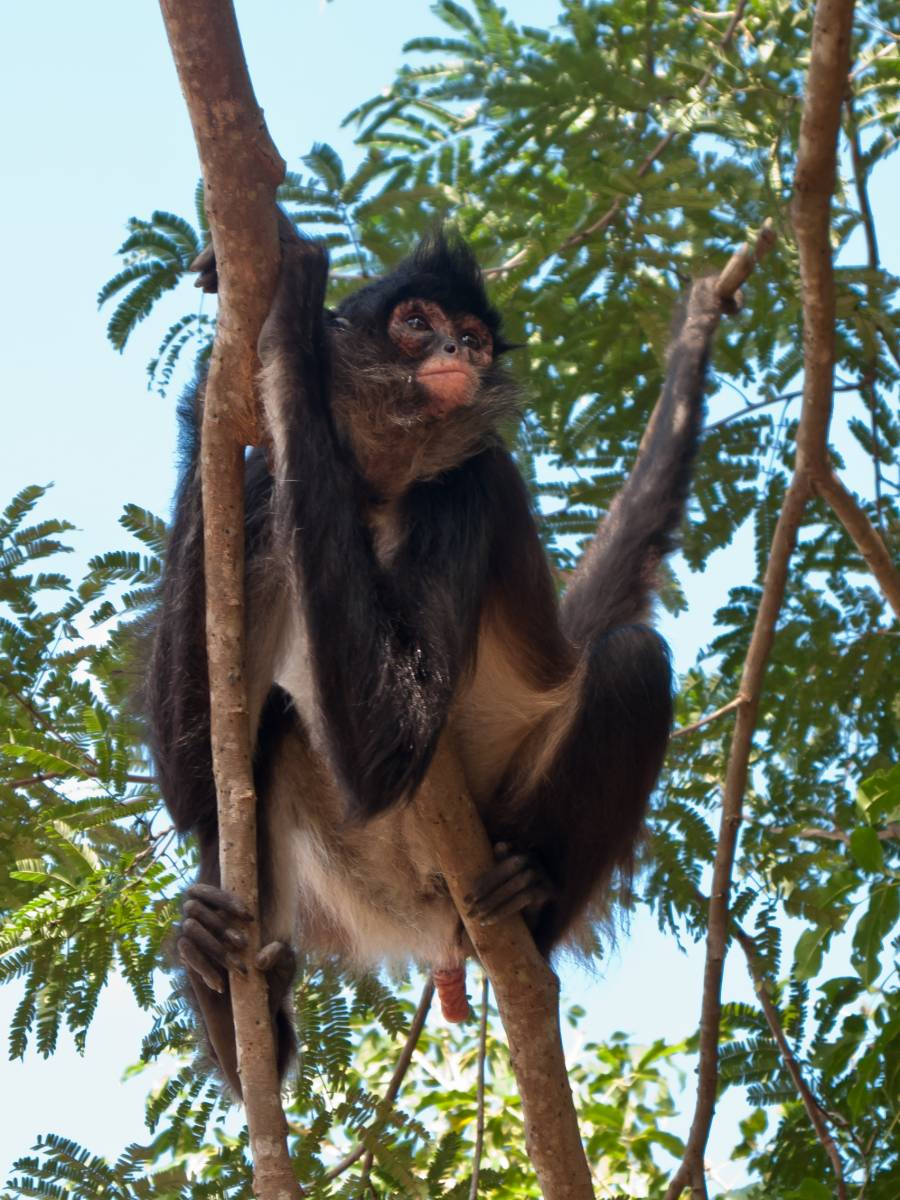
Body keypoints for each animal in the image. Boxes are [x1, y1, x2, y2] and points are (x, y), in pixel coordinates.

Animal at [147, 213, 732, 1095]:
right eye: (416, 322)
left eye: (475, 340)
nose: (457, 348)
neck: (381, 486)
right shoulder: (261, 499)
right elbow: (195, 792)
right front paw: (216, 384)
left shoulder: (467, 483)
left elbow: (392, 748)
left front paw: (292, 318)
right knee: (272, 727)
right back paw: (238, 1012)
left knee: (633, 659)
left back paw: (533, 902)